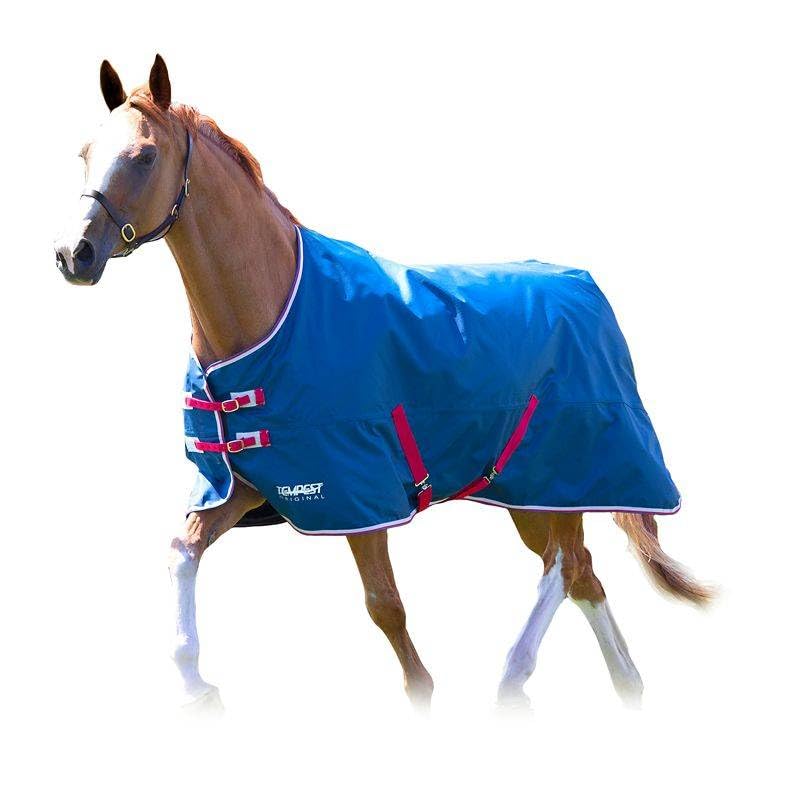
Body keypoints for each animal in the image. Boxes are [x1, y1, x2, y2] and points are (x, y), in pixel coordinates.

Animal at [54, 55, 712, 712]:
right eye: (85, 152)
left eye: (143, 156)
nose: (73, 253)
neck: (272, 312)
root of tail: (586, 287)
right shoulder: (245, 485)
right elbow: (182, 551)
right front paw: (194, 682)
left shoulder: (359, 495)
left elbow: (385, 607)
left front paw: (422, 691)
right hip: (531, 493)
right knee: (582, 572)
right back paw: (625, 685)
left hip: (567, 473)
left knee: (564, 562)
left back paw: (514, 678)